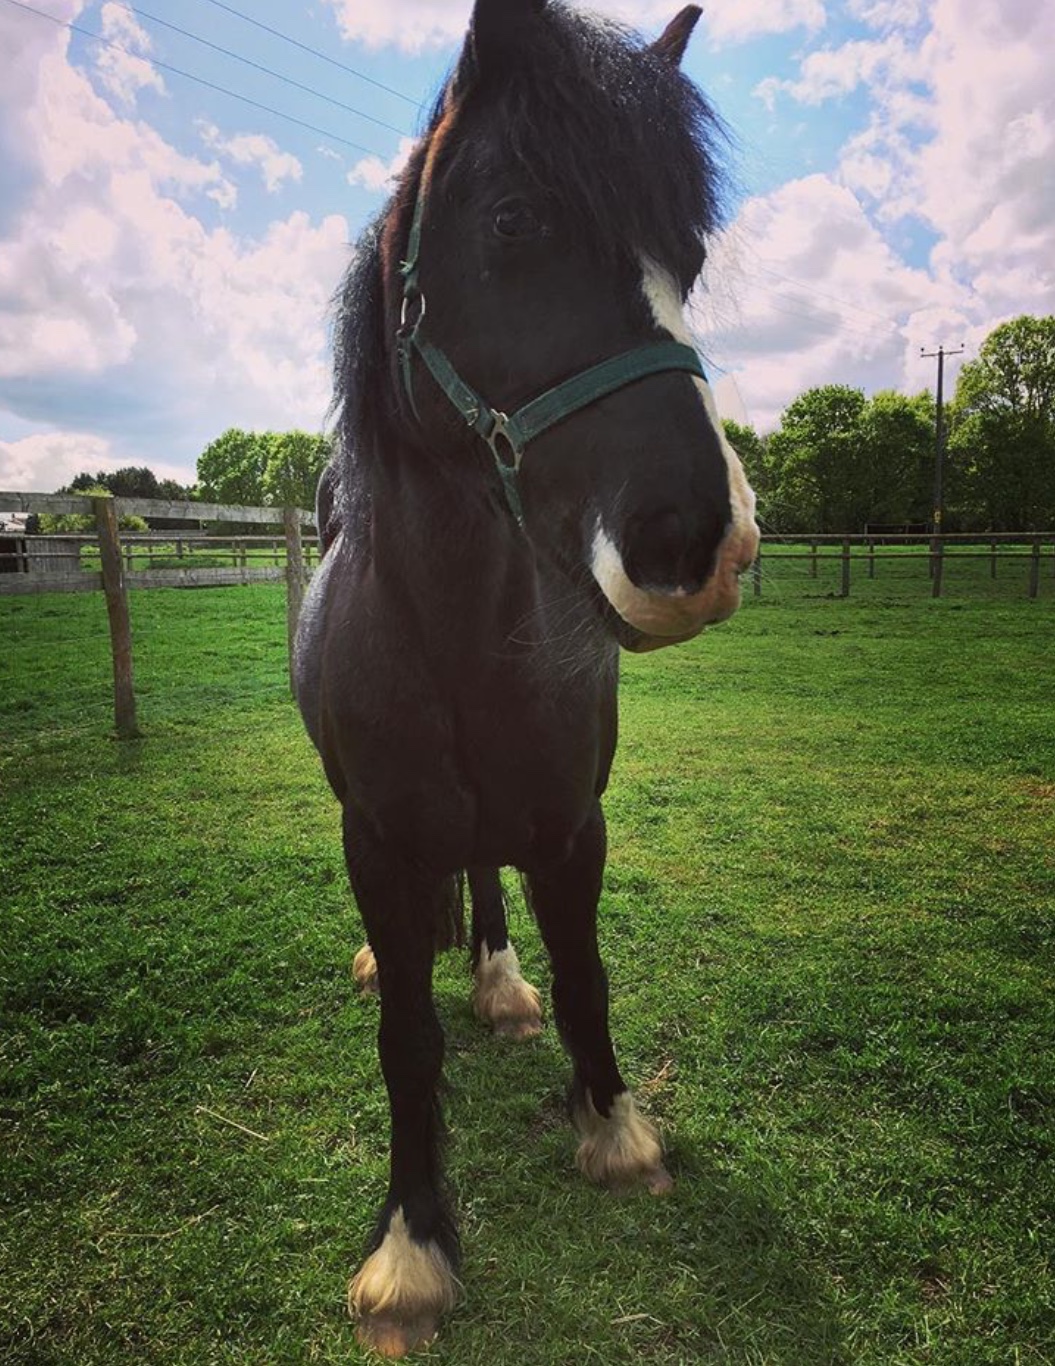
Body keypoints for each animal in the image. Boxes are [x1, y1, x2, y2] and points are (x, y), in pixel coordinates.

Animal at [294, 0, 759, 1354]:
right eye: (510, 221)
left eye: (687, 258)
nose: (696, 542)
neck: (456, 632)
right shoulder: (376, 838)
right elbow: (404, 1036)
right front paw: (411, 1245)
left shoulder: (570, 822)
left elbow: (589, 974)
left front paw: (613, 1129)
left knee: (489, 884)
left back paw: (500, 982)